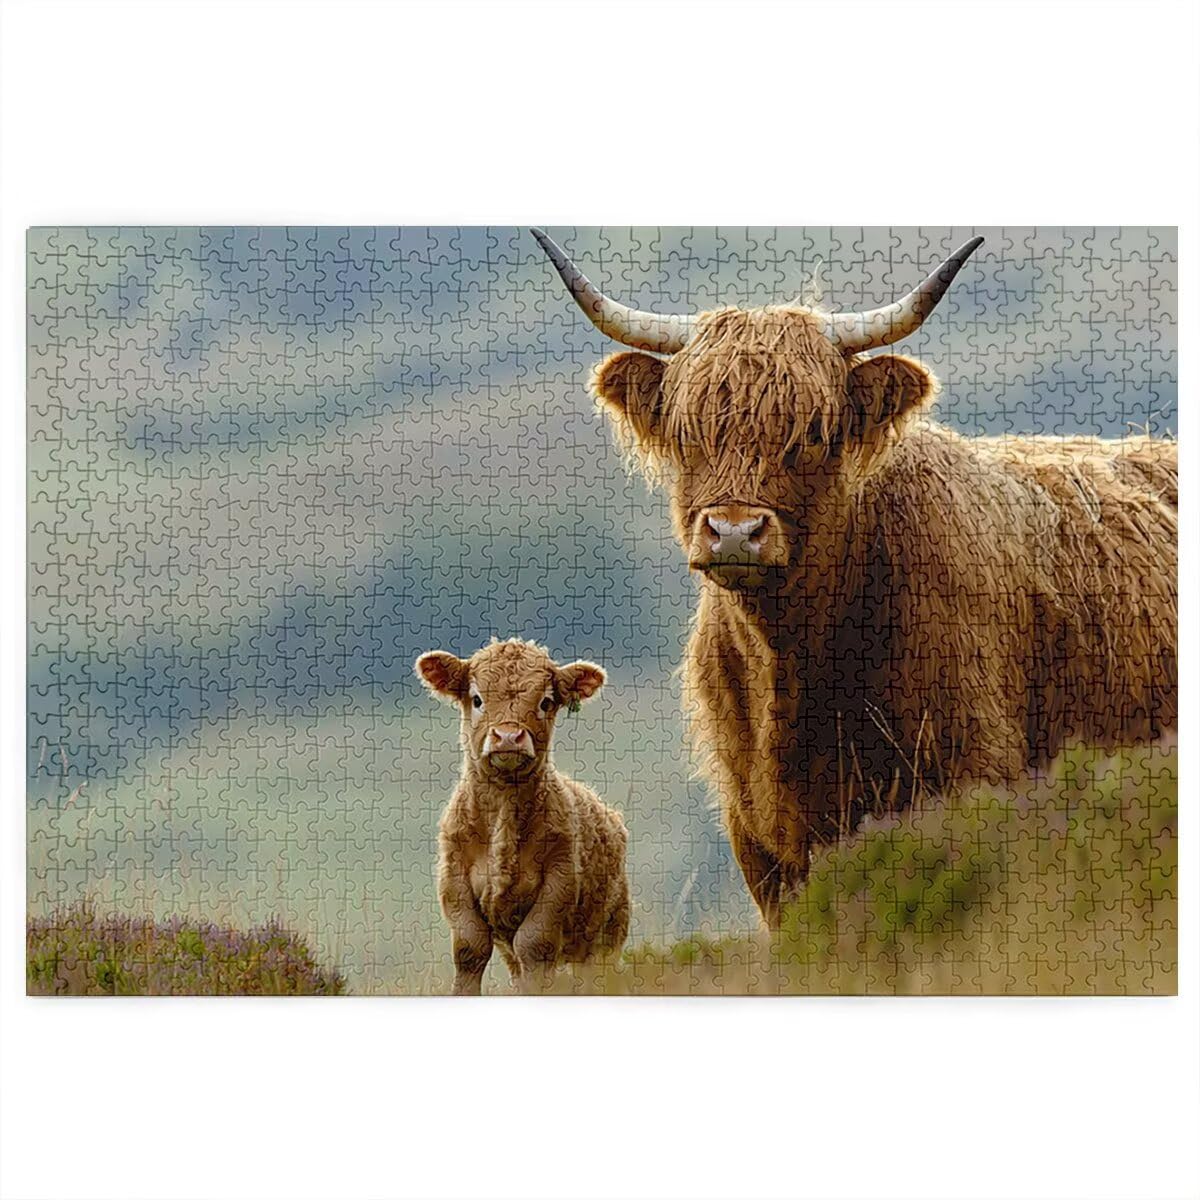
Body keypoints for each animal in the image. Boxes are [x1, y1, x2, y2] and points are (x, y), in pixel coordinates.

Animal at [416, 638, 630, 993]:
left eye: (546, 701)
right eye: (477, 699)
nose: (507, 737)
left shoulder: (559, 879)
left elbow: (534, 945)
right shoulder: (453, 878)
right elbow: (470, 948)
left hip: (607, 933)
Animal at [532, 228, 1177, 929]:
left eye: (814, 432)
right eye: (687, 432)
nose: (733, 531)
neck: (794, 670)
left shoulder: (976, 774)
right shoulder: (759, 842)